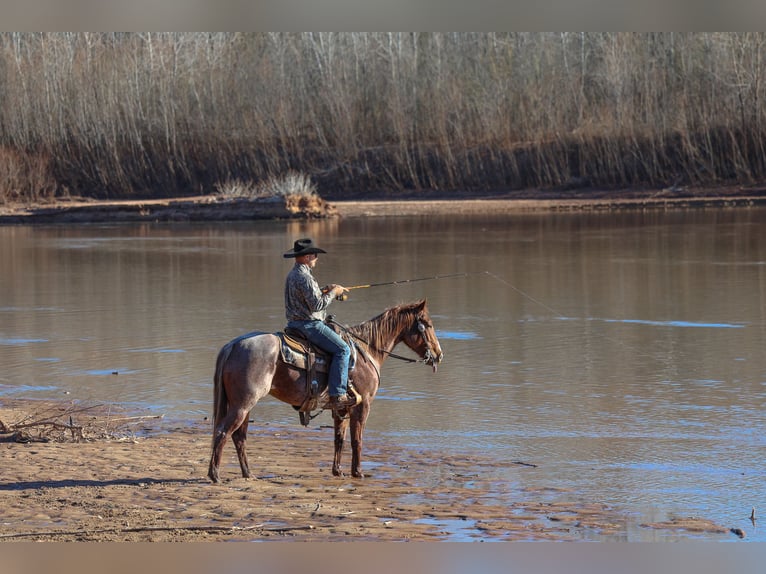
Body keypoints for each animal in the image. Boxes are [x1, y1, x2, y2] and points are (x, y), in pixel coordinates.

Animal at [207, 299, 443, 483]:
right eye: (428, 325)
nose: (439, 354)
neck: (366, 352)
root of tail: (233, 345)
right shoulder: (363, 405)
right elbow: (357, 440)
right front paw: (358, 472)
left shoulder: (341, 408)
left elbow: (339, 439)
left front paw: (338, 471)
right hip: (242, 405)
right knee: (222, 432)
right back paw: (215, 475)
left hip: (243, 406)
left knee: (239, 437)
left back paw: (248, 474)